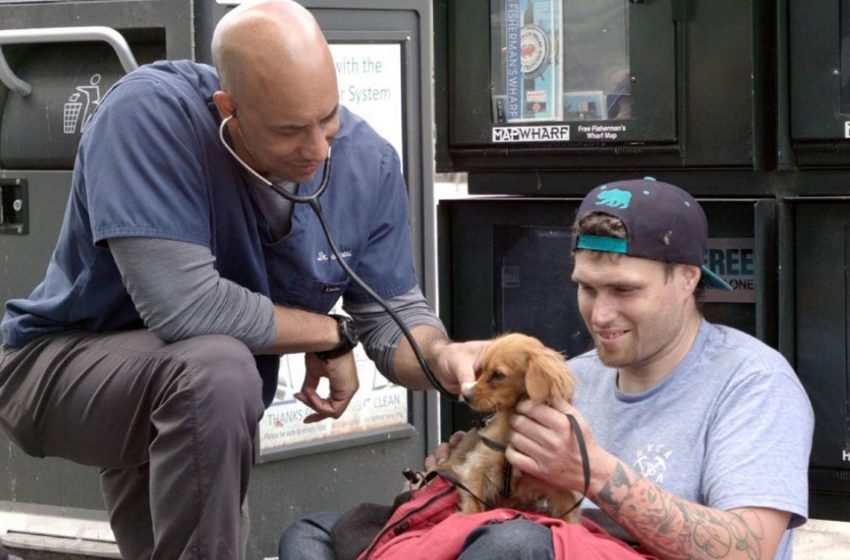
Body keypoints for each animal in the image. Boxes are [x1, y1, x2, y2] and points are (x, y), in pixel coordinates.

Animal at [440, 332, 580, 520]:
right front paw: (468, 517)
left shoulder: (562, 491)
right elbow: (473, 504)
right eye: (481, 370)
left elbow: (569, 520)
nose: (465, 396)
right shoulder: (476, 469)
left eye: (498, 375)